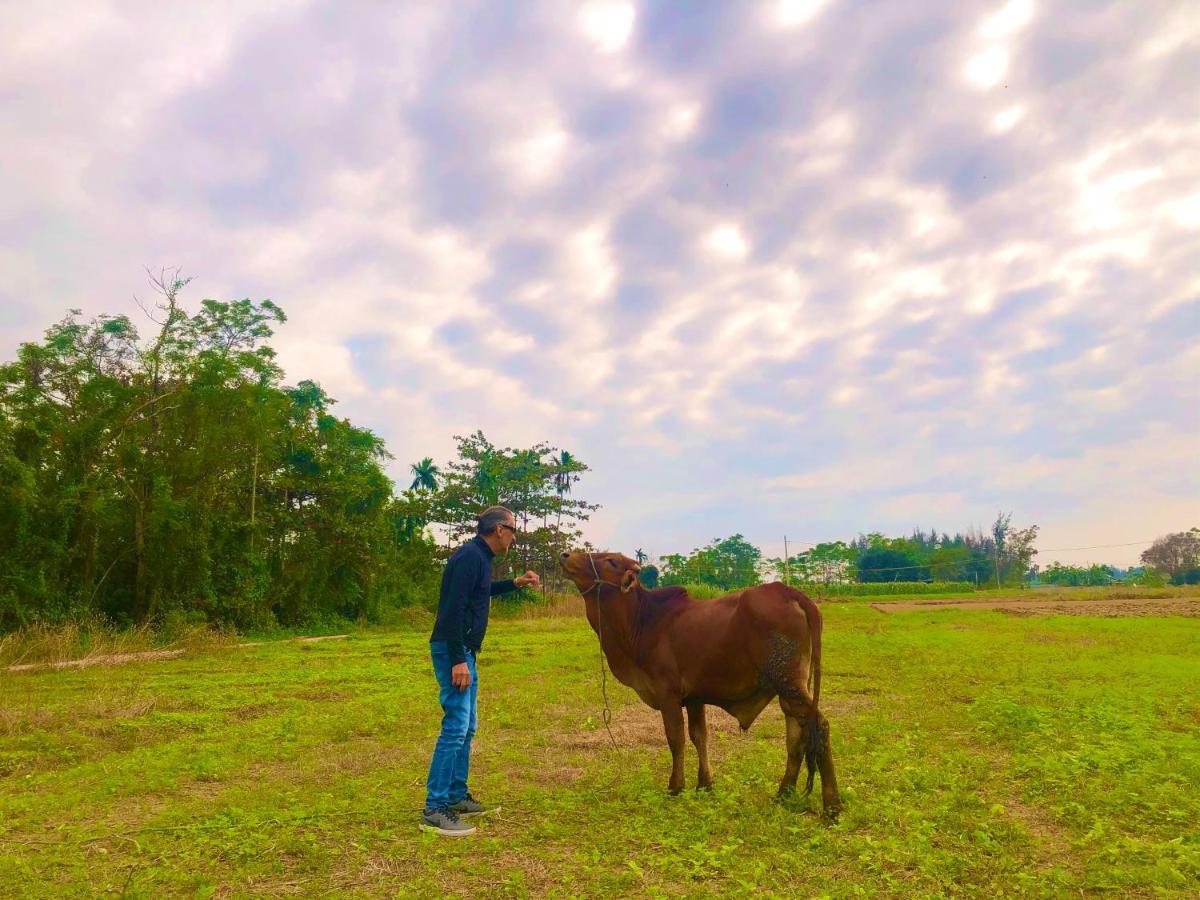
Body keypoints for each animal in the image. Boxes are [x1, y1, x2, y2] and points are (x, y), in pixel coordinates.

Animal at [556, 549, 840, 816]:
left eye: (612, 561)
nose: (566, 555)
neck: (641, 621)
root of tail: (791, 592)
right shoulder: (694, 697)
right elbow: (699, 737)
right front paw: (705, 784)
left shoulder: (668, 694)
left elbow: (676, 739)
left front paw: (676, 786)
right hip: (788, 688)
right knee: (796, 735)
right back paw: (784, 794)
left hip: (789, 682)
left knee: (820, 726)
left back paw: (832, 806)